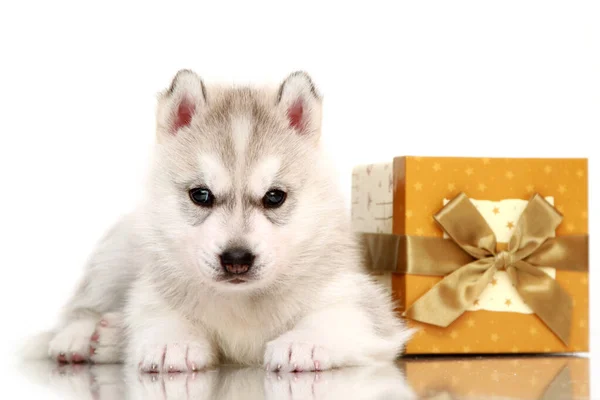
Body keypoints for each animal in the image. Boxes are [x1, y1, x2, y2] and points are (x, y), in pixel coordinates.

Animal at [22, 71, 412, 372]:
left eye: (275, 197)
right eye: (201, 195)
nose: (237, 259)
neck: (242, 299)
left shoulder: (357, 298)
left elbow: (339, 317)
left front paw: (306, 342)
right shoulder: (153, 288)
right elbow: (158, 311)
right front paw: (174, 342)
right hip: (119, 255)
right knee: (83, 305)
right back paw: (83, 336)